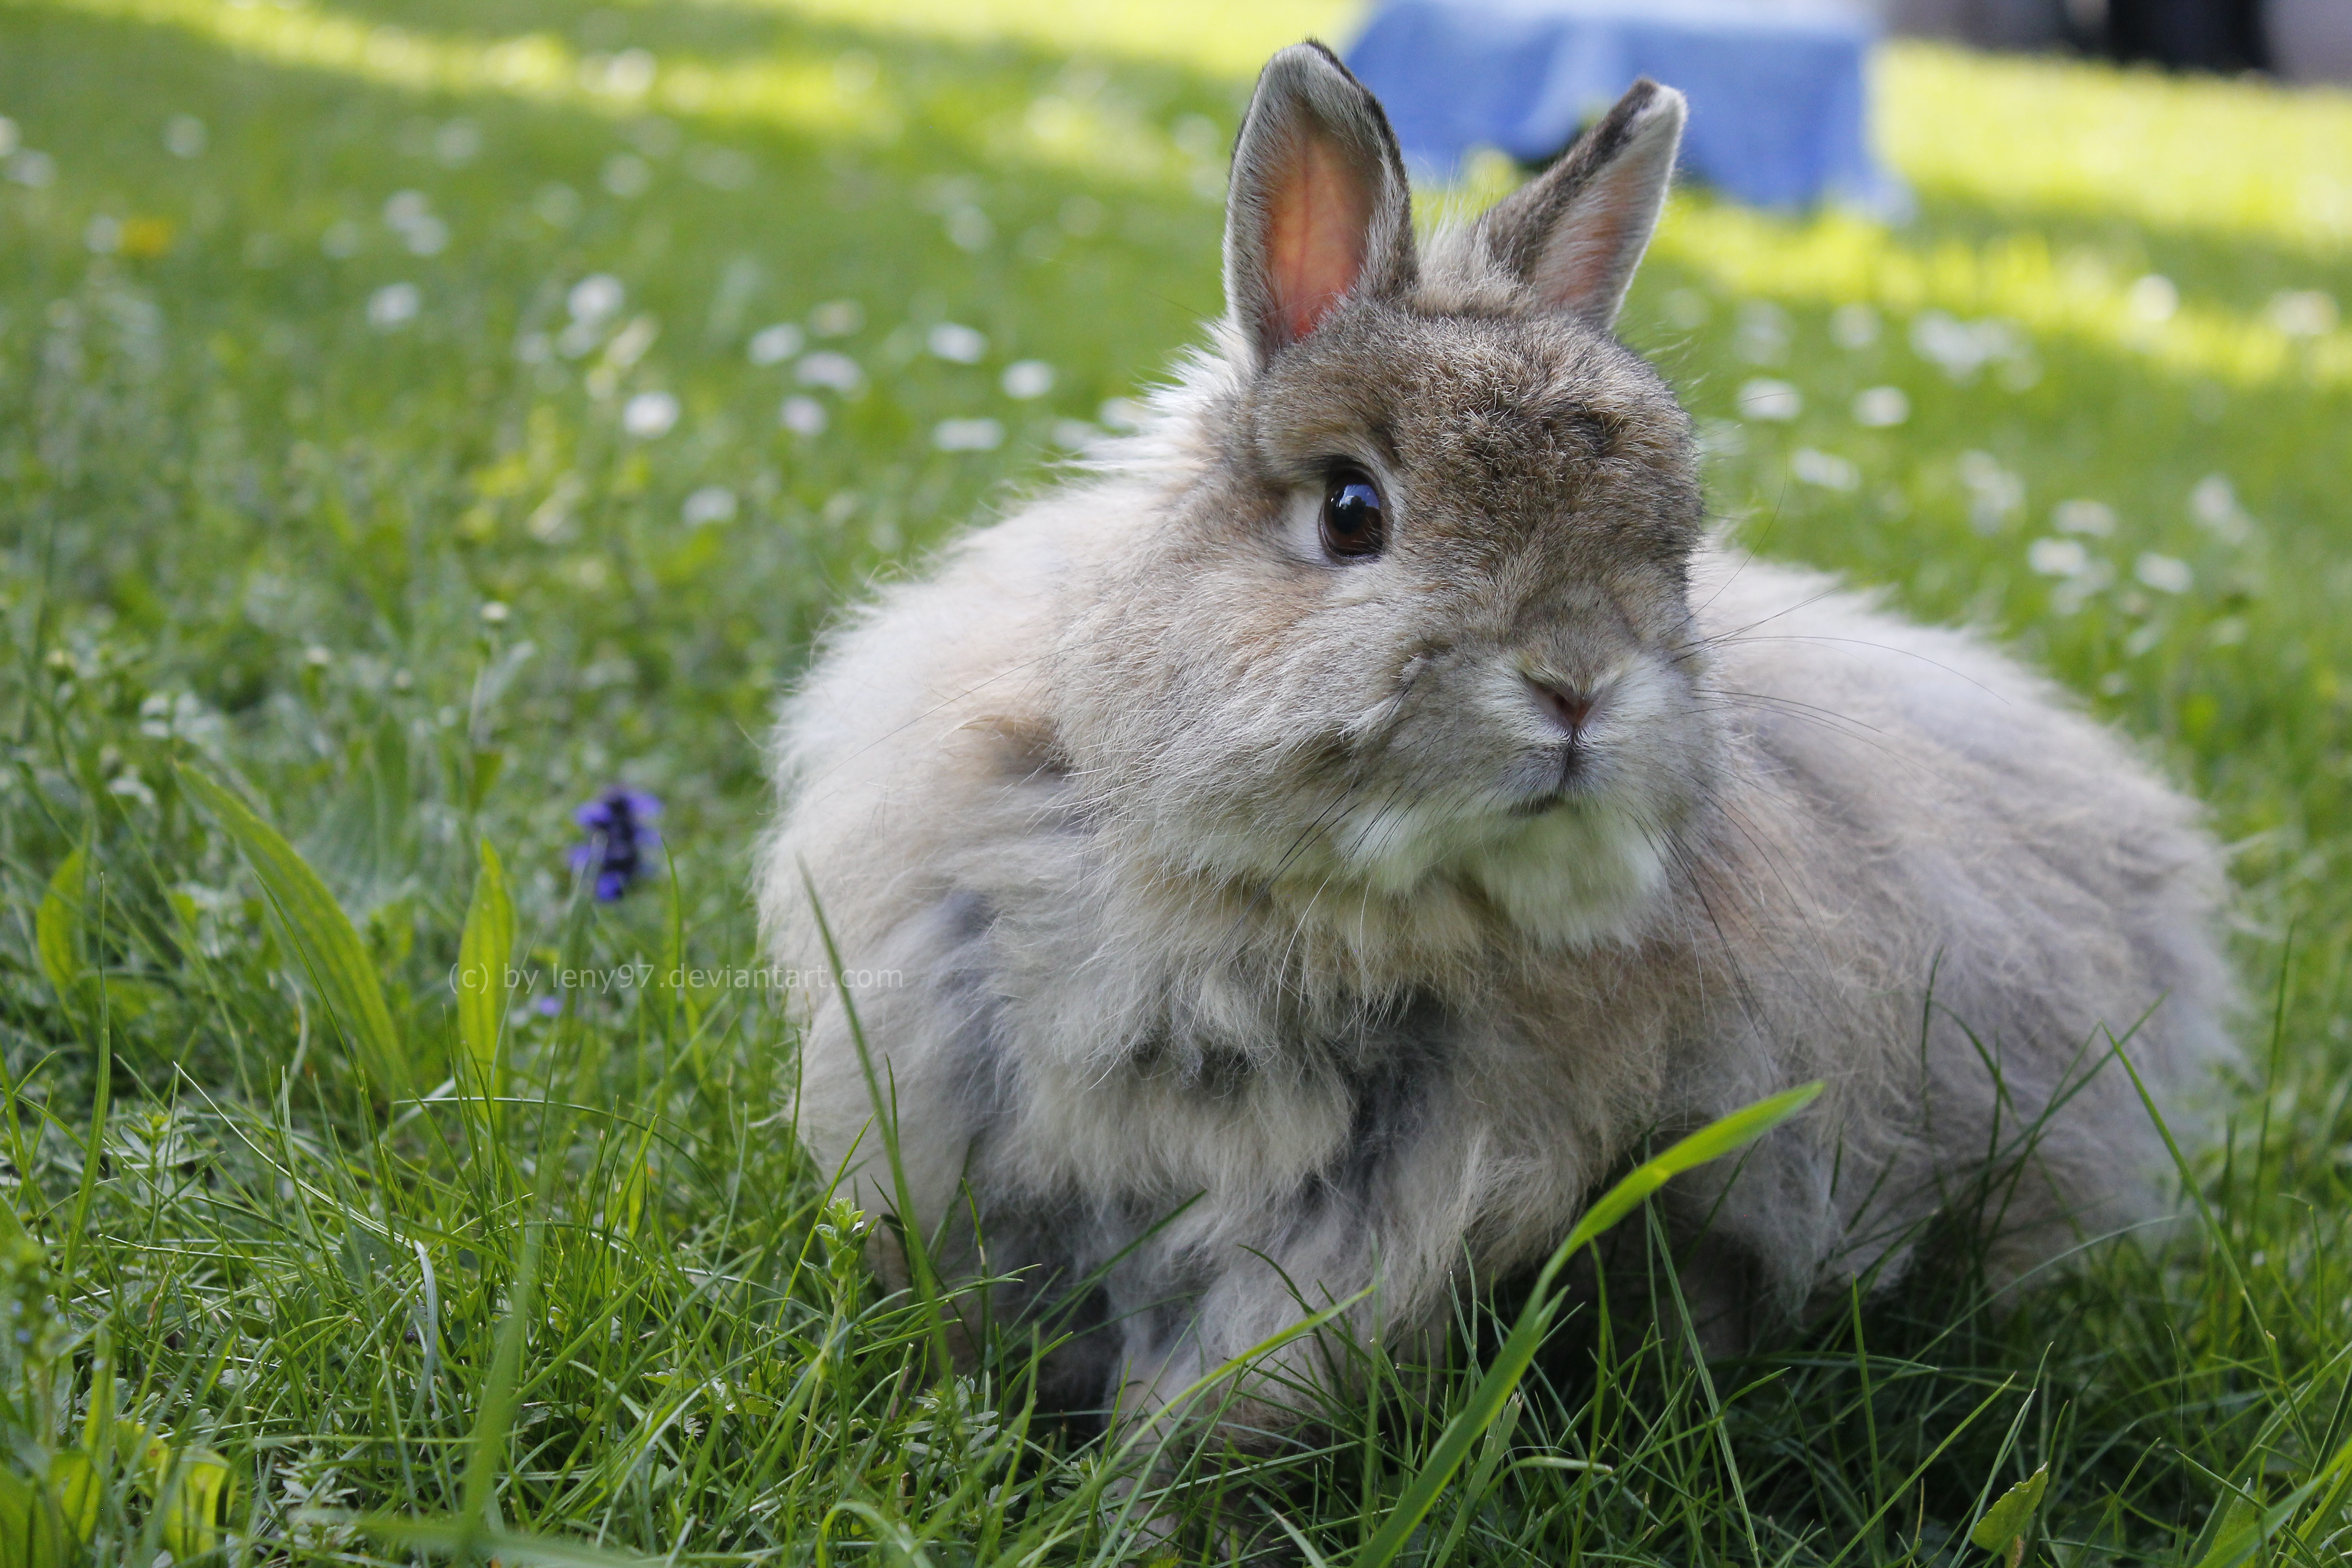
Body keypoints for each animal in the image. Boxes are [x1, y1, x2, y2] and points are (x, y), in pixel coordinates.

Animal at [762, 40, 2230, 1439]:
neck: (1296, 898)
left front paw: (1145, 1493)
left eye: (1669, 547)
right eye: (1352, 511)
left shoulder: (1341, 1233)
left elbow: (1214, 1390)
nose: (1578, 685)